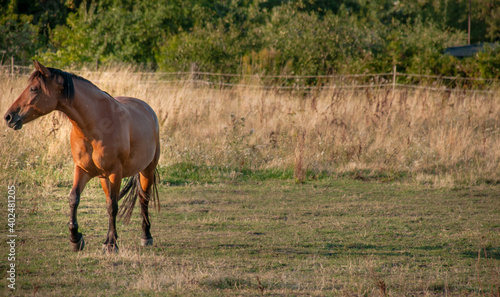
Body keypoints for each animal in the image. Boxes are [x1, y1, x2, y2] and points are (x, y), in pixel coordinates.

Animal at [3, 60, 160, 252]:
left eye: (34, 89)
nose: (8, 117)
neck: (96, 125)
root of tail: (147, 109)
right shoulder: (82, 169)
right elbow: (74, 199)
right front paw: (75, 239)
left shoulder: (115, 172)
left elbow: (113, 206)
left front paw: (111, 244)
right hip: (104, 178)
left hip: (147, 170)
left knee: (143, 199)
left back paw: (146, 236)